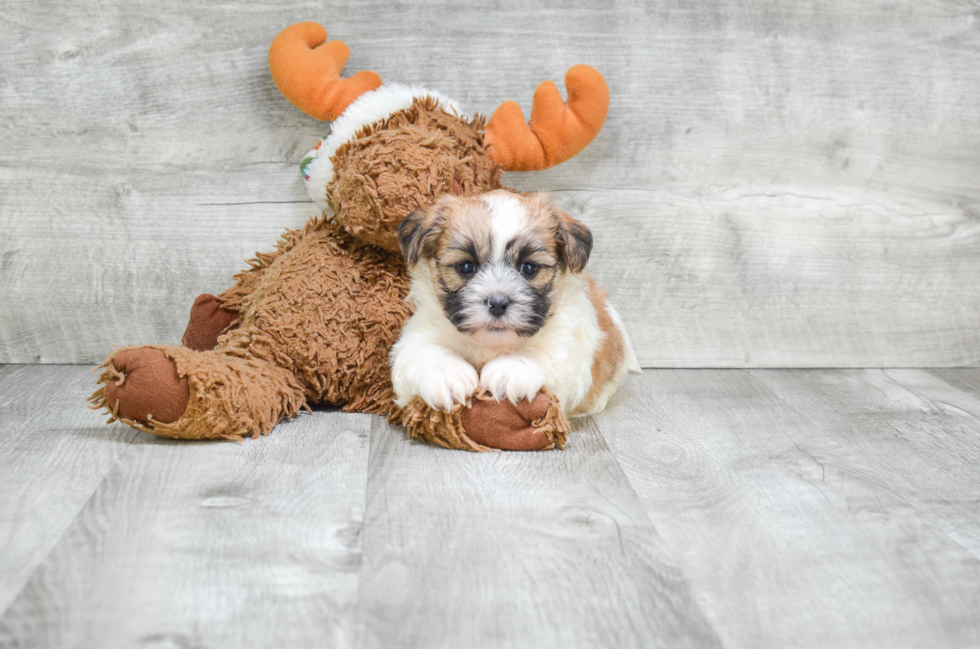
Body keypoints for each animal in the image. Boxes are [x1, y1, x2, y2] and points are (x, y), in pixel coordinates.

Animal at [392, 190, 644, 418]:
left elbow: (546, 352)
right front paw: (448, 376)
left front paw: (511, 368)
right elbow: (424, 350)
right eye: (466, 267)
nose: (498, 303)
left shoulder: (570, 343)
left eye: (529, 268)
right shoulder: (418, 335)